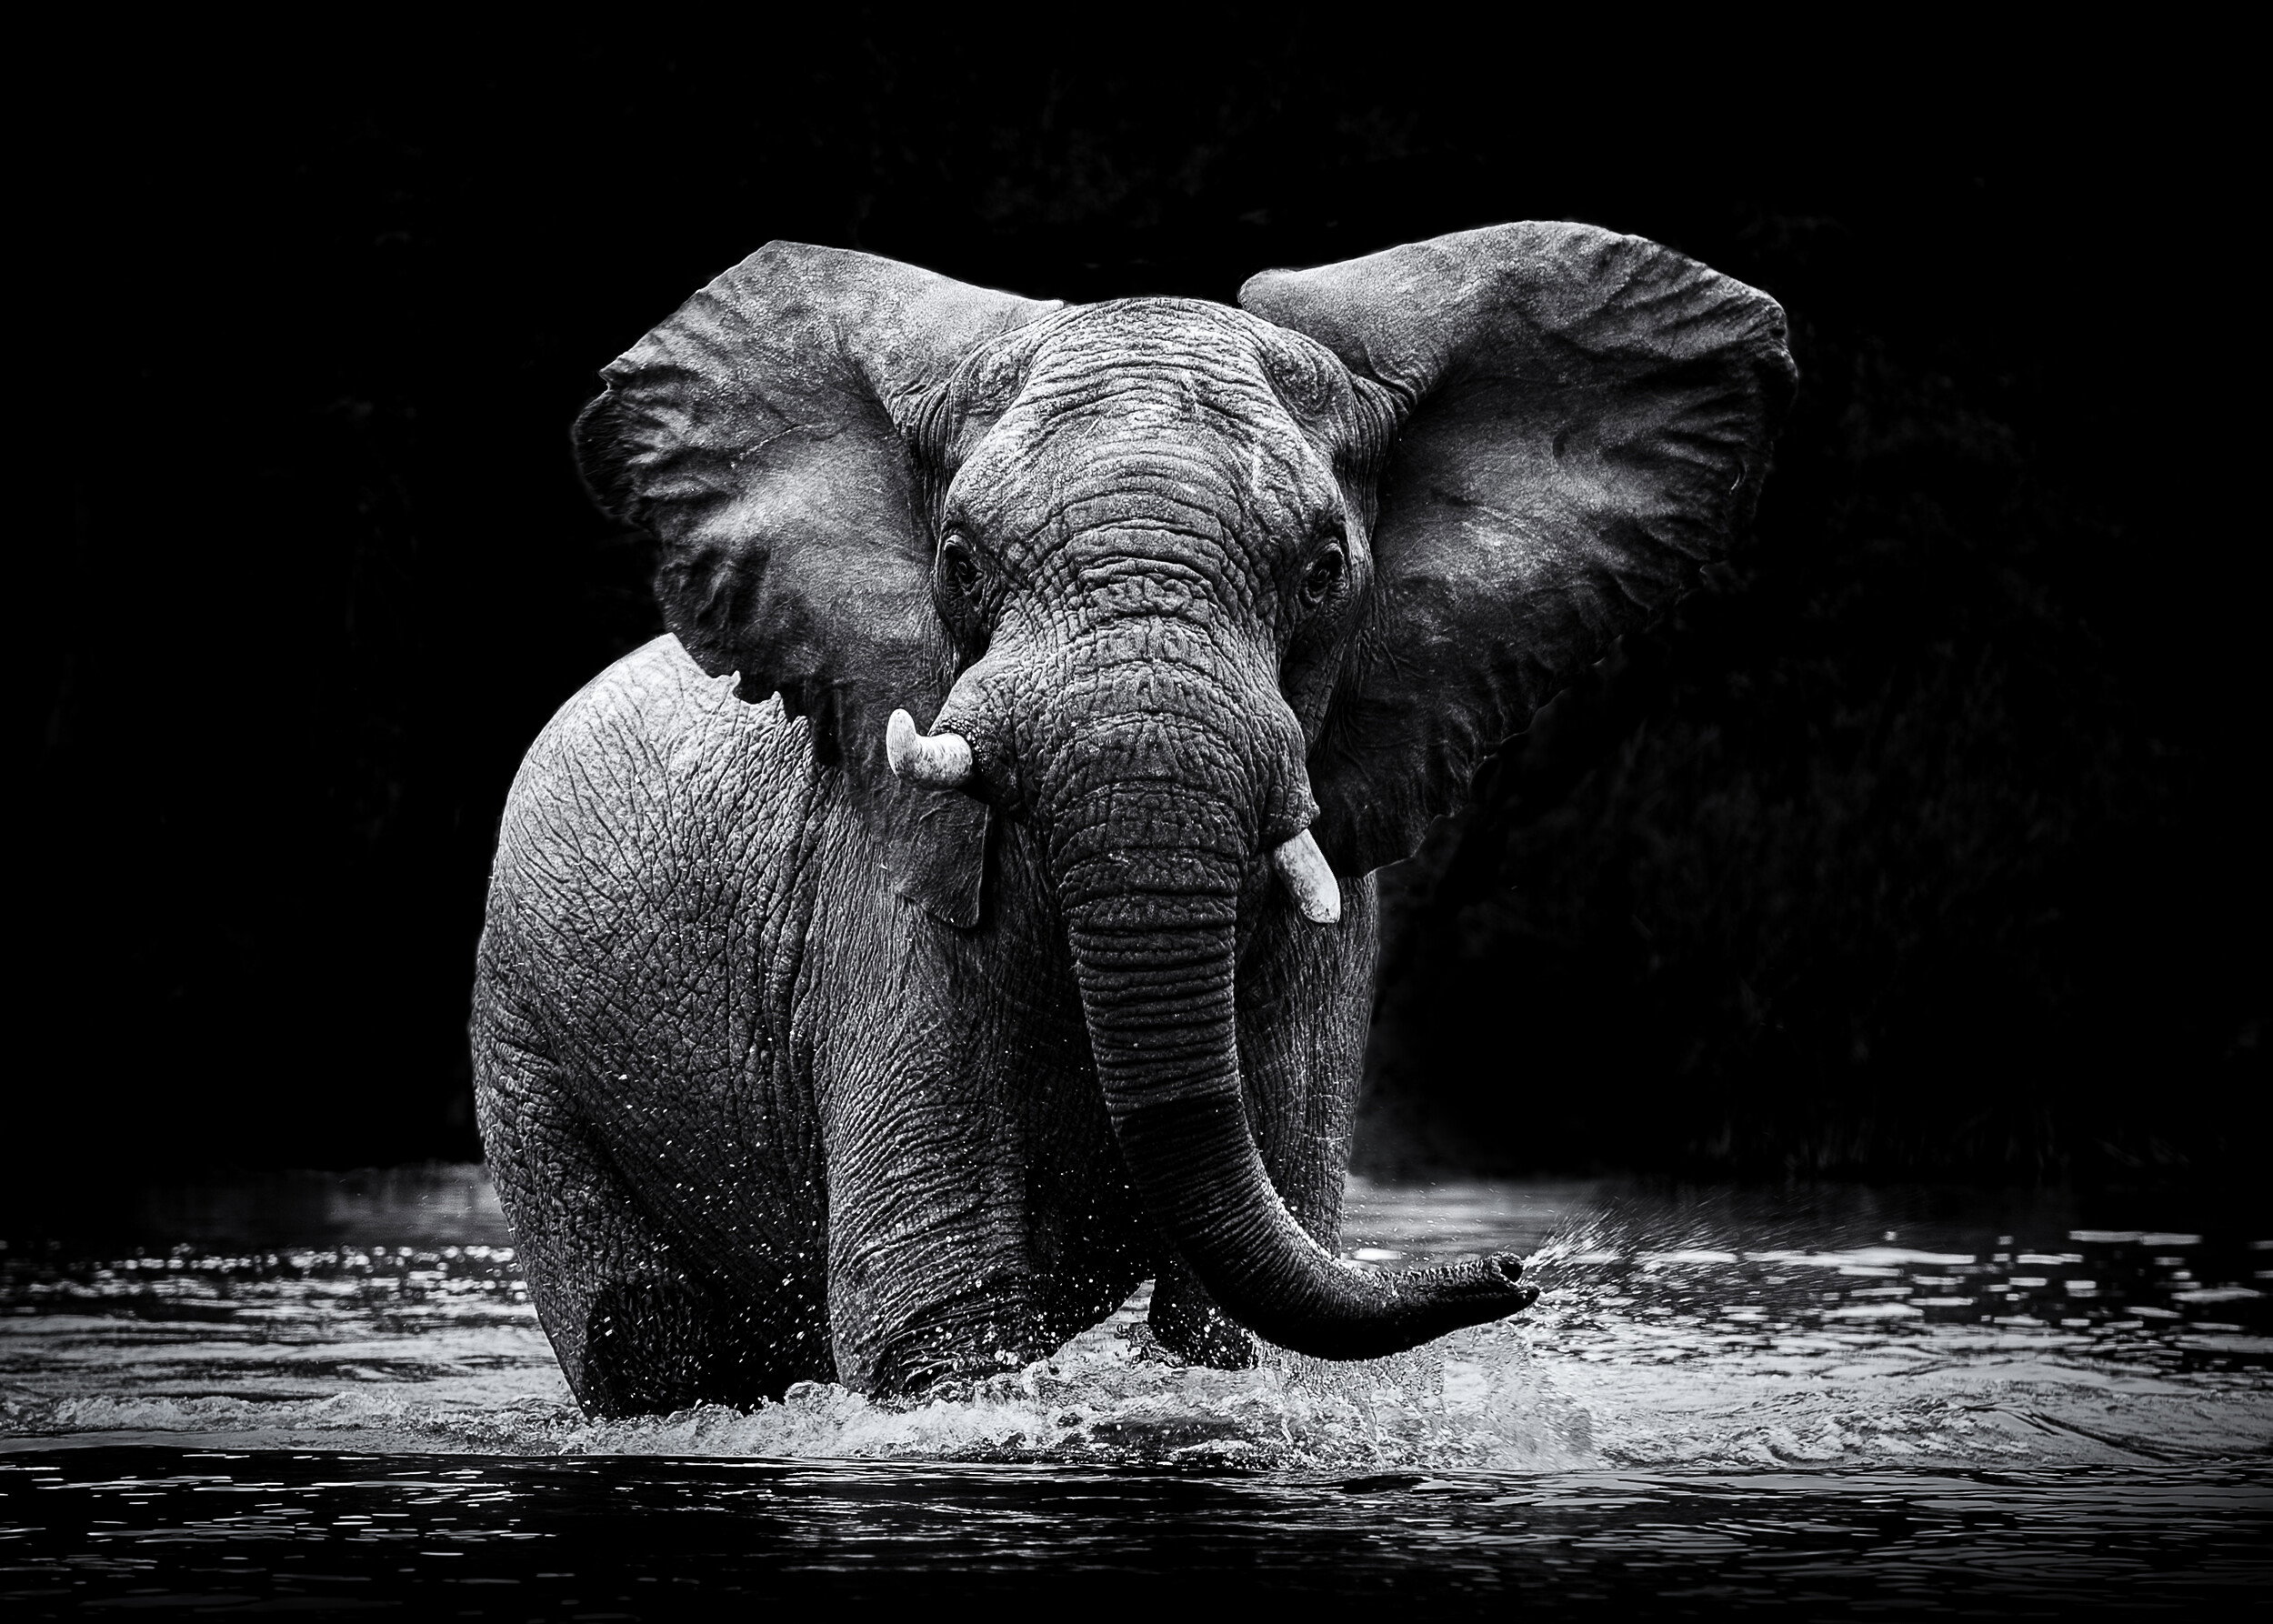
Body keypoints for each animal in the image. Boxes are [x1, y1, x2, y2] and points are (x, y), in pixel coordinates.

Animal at [471, 222, 1794, 1416]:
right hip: (521, 1042)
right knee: (639, 1339)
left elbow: (1233, 1325)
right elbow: (935, 1312)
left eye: (1323, 571)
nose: (1520, 1268)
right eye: (959, 563)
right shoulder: (886, 883)